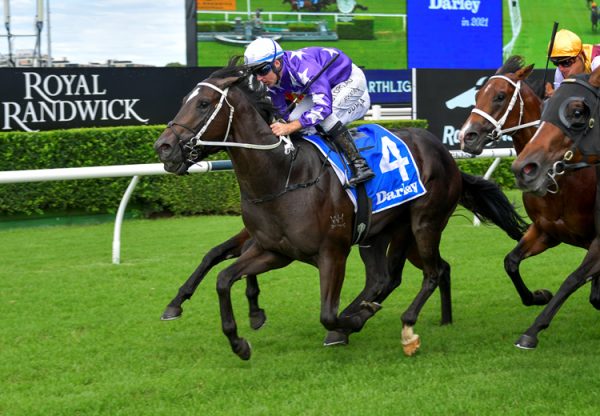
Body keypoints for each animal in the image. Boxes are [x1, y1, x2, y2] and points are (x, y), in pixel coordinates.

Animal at [154, 58, 524, 360]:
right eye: (185, 101)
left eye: (203, 103)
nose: (163, 147)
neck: (283, 176)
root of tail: (444, 151)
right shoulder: (274, 251)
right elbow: (222, 276)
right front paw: (238, 339)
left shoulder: (332, 253)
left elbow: (327, 314)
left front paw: (351, 322)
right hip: (382, 233)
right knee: (389, 277)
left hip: (424, 223)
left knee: (428, 273)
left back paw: (400, 326)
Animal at [460, 56, 596, 308]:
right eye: (477, 94)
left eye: (500, 96)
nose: (466, 136)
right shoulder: (546, 231)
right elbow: (510, 262)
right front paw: (538, 295)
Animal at [510, 70, 600, 350]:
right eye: (544, 109)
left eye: (578, 111)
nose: (524, 169)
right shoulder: (546, 231)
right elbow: (512, 261)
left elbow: (573, 278)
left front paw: (532, 331)